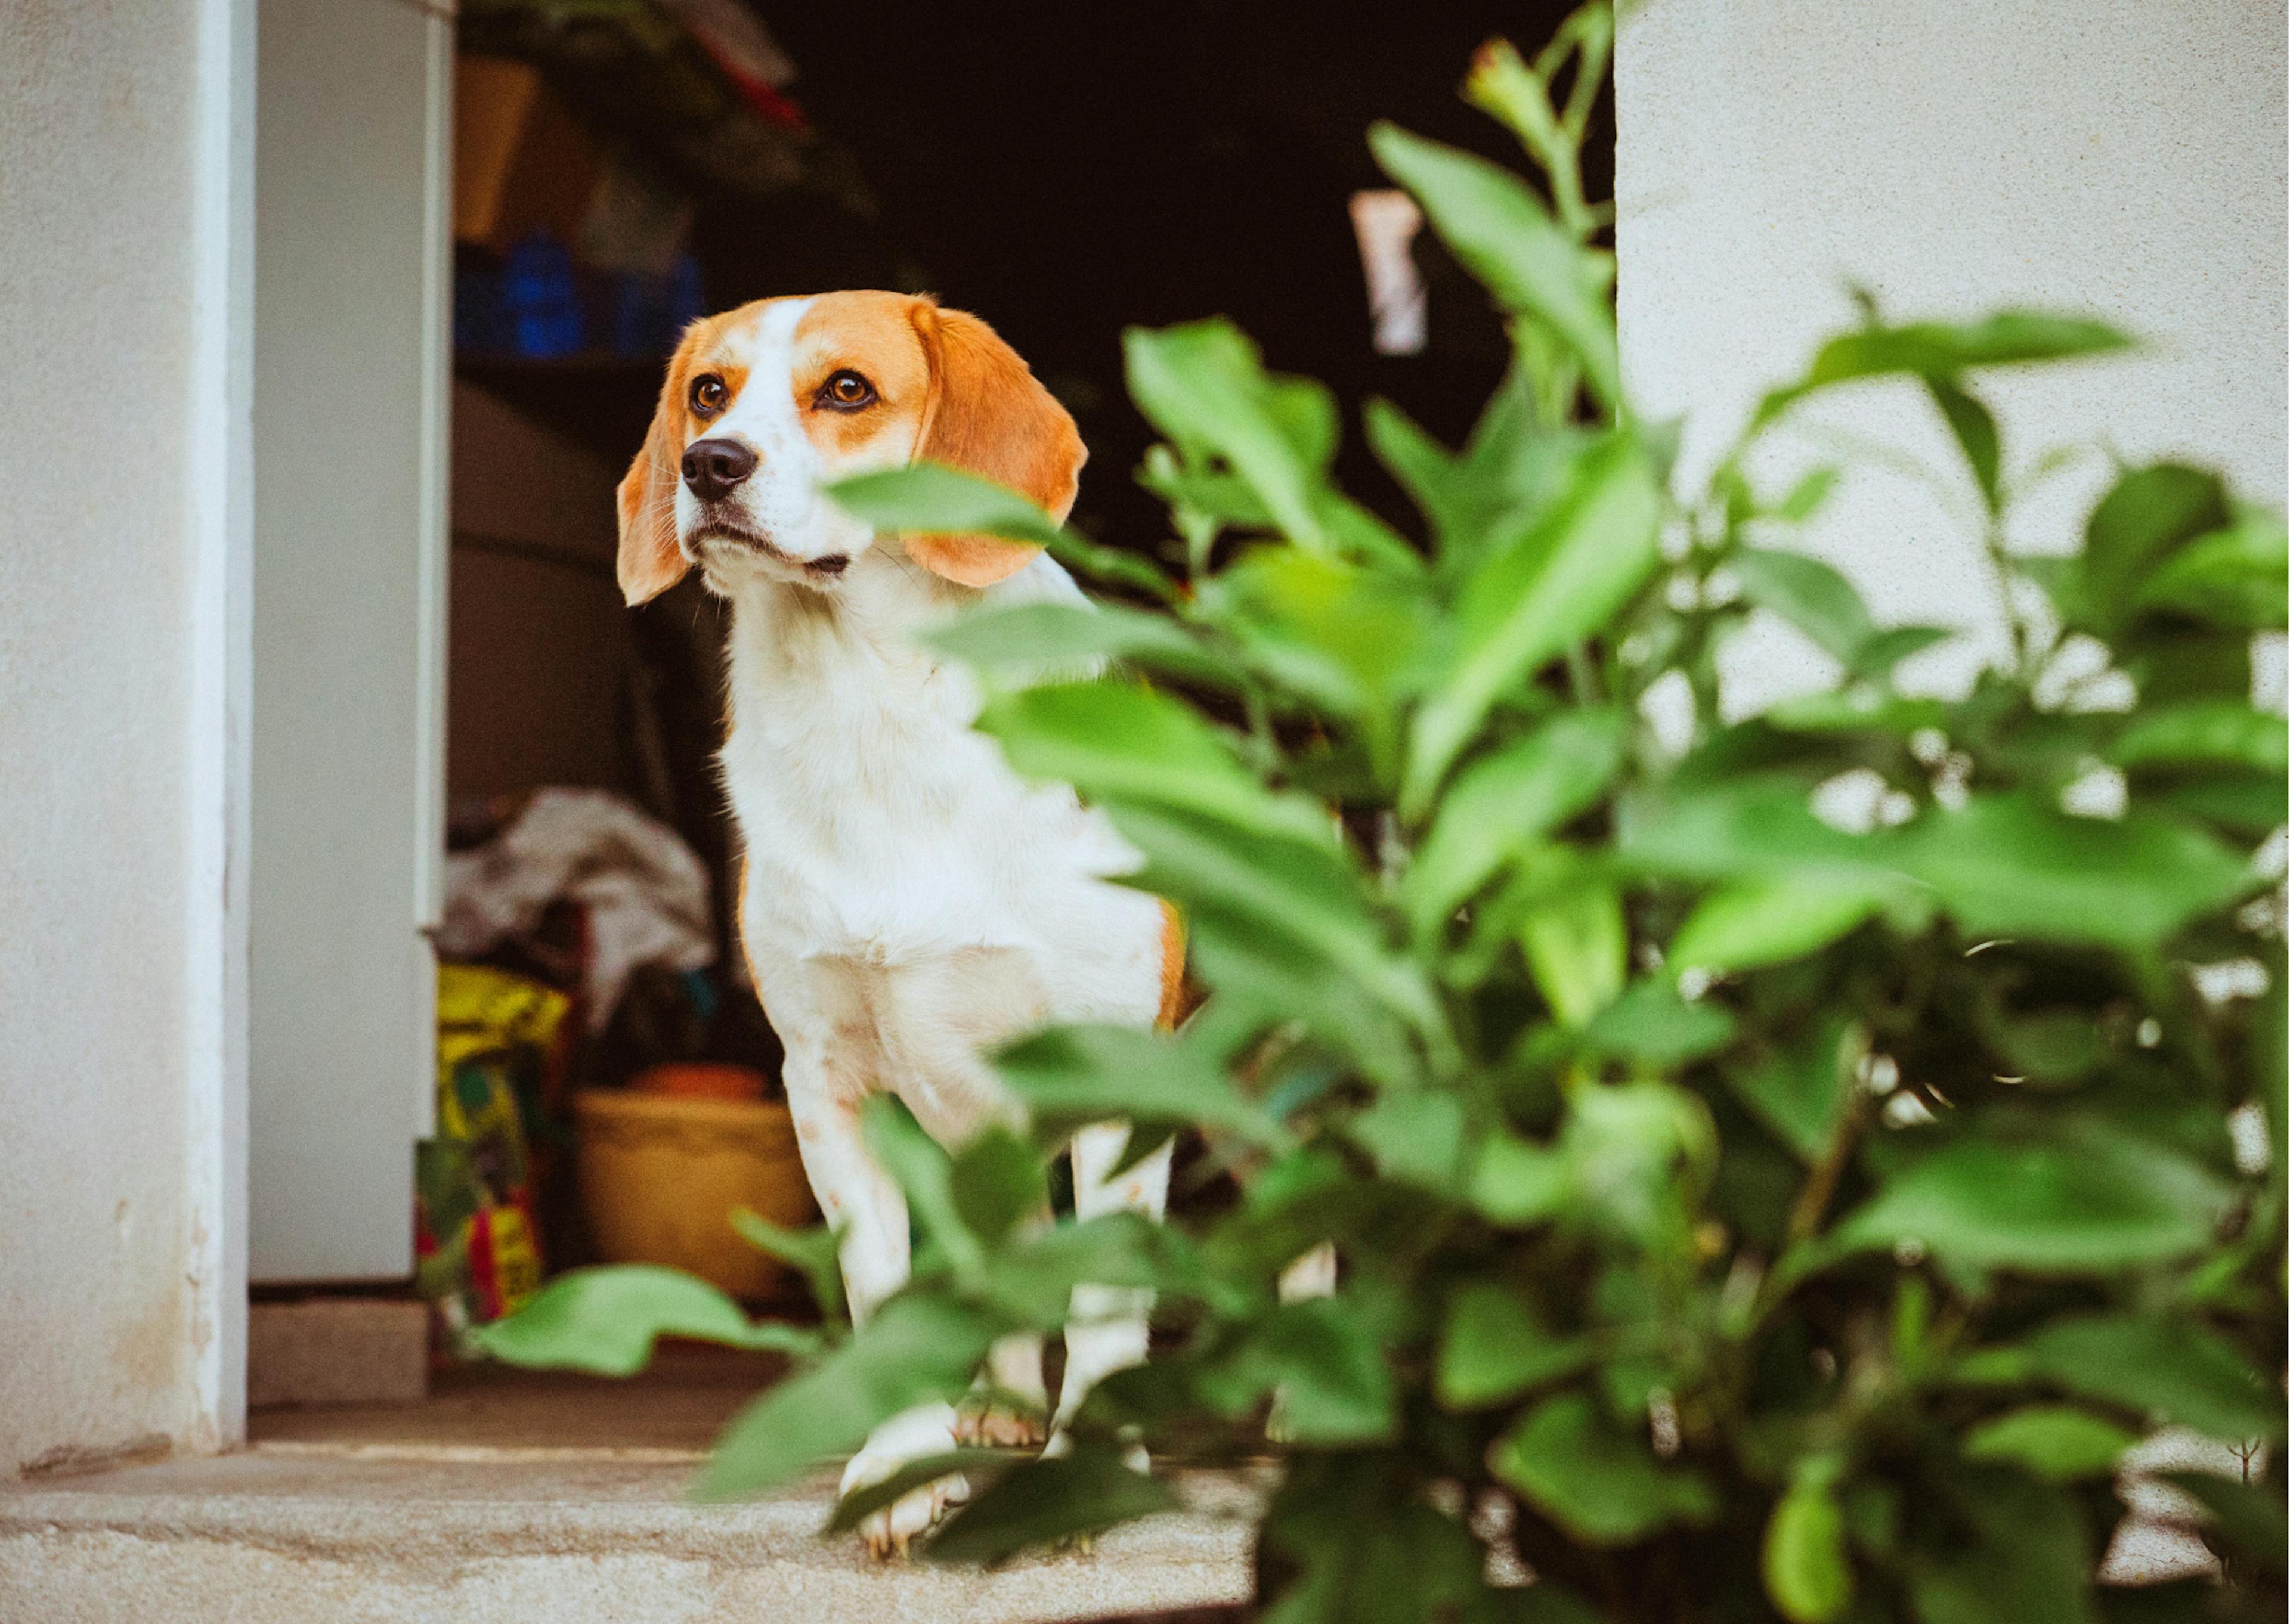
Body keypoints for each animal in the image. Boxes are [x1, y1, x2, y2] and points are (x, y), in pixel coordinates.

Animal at [614, 289, 1181, 1548]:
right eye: (708, 392)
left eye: (847, 391)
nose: (709, 464)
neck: (871, 703)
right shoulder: (828, 1081)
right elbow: (884, 1292)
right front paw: (904, 1464)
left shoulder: (1117, 1078)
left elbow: (1108, 1303)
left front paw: (1087, 1474)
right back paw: (1004, 1407)